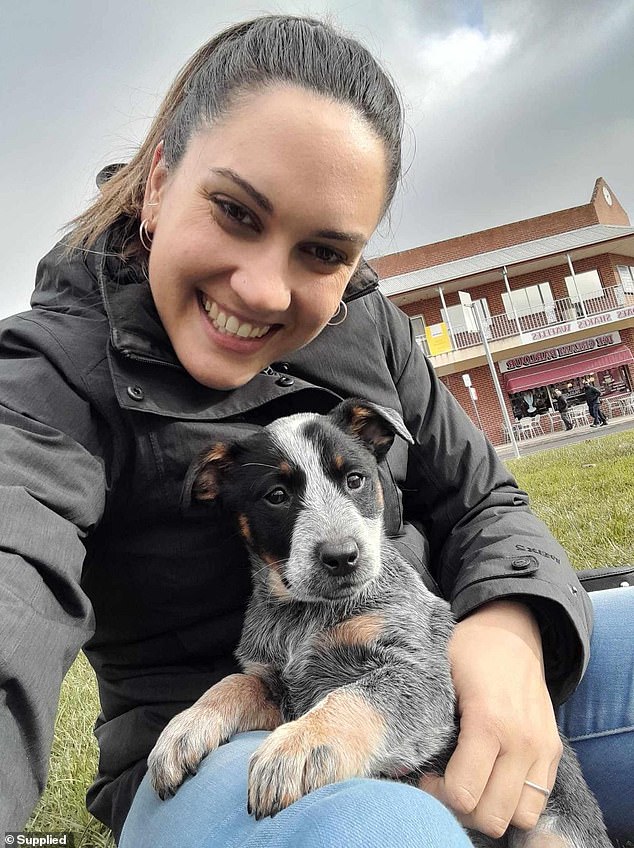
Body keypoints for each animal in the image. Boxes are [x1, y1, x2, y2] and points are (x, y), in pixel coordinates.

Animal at [147, 400, 608, 848]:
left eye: (356, 480)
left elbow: (358, 695)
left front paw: (299, 746)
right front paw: (183, 729)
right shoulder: (276, 686)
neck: (303, 616)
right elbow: (232, 684)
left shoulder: (420, 674)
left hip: (556, 832)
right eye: (276, 496)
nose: (342, 556)